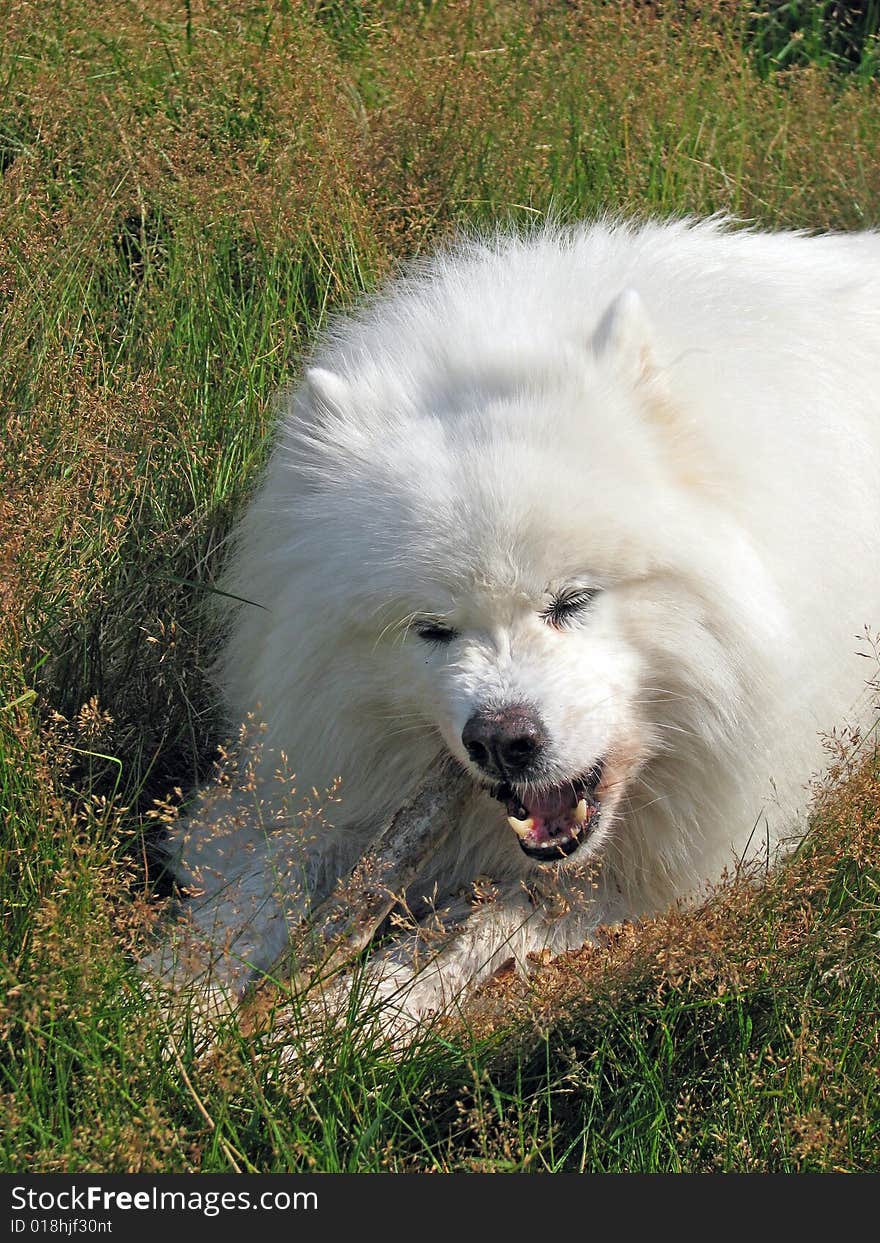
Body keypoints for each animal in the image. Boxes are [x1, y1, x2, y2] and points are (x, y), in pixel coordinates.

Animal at [151, 218, 879, 1024]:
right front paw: (169, 1009)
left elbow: (448, 950)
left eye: (572, 602)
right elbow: (250, 890)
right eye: (432, 629)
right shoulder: (300, 783)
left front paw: (327, 1026)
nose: (502, 740)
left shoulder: (639, 876)